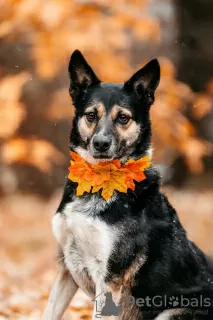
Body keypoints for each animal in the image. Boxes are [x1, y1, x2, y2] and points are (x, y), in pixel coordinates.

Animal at [41, 50, 213, 320]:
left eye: (123, 118)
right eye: (91, 115)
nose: (101, 144)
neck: (100, 181)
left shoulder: (109, 279)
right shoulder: (66, 267)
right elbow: (48, 312)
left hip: (171, 312)